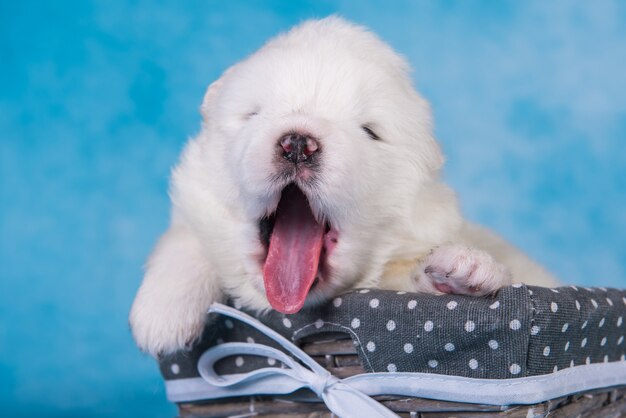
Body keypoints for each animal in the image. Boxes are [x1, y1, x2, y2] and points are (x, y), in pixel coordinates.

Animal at [129, 16, 560, 356]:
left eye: (370, 132)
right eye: (253, 114)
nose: (298, 144)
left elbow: (408, 274)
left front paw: (461, 272)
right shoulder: (193, 204)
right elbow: (186, 238)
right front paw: (162, 314)